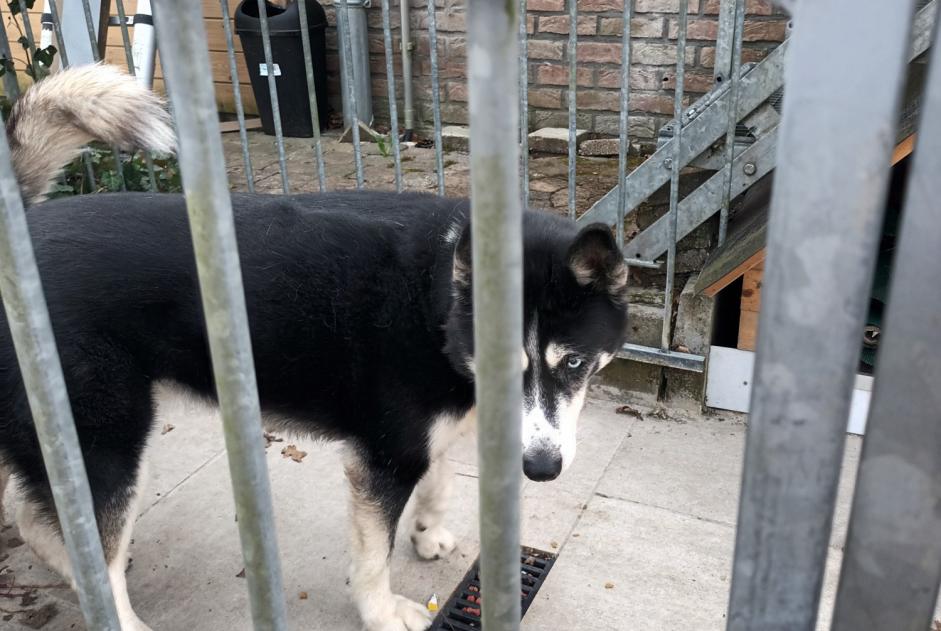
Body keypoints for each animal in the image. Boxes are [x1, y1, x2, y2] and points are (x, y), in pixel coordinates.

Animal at [0, 65, 632, 631]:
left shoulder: (419, 437)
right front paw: (381, 613)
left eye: (575, 363)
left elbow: (440, 477)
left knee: (33, 514)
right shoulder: (384, 457)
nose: (541, 469)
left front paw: (427, 533)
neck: (438, 298)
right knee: (86, 543)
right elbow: (374, 557)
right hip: (107, 443)